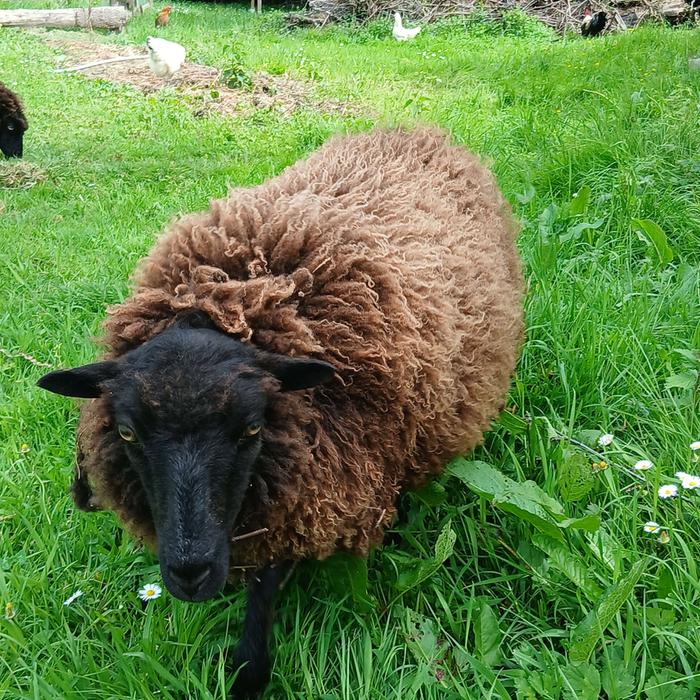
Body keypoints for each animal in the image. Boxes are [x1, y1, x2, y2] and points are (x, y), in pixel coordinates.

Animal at [38, 127, 524, 698]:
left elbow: (265, 586)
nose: (190, 572)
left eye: (252, 427)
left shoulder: (307, 492)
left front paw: (248, 672)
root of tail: (416, 129)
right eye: (128, 433)